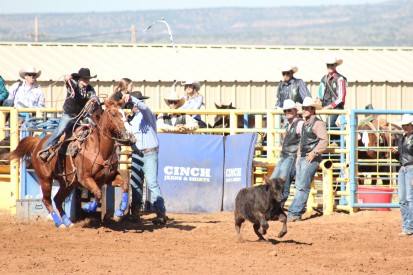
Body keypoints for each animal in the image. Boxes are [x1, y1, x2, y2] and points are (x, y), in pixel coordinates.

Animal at [8, 99, 135, 229]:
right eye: (114, 115)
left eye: (126, 115)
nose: (129, 135)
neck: (100, 149)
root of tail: (38, 143)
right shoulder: (85, 178)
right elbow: (98, 193)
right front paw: (88, 207)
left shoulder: (110, 177)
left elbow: (125, 186)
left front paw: (119, 213)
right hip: (45, 179)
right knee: (47, 200)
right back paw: (60, 224)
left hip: (68, 183)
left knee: (57, 200)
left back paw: (68, 223)